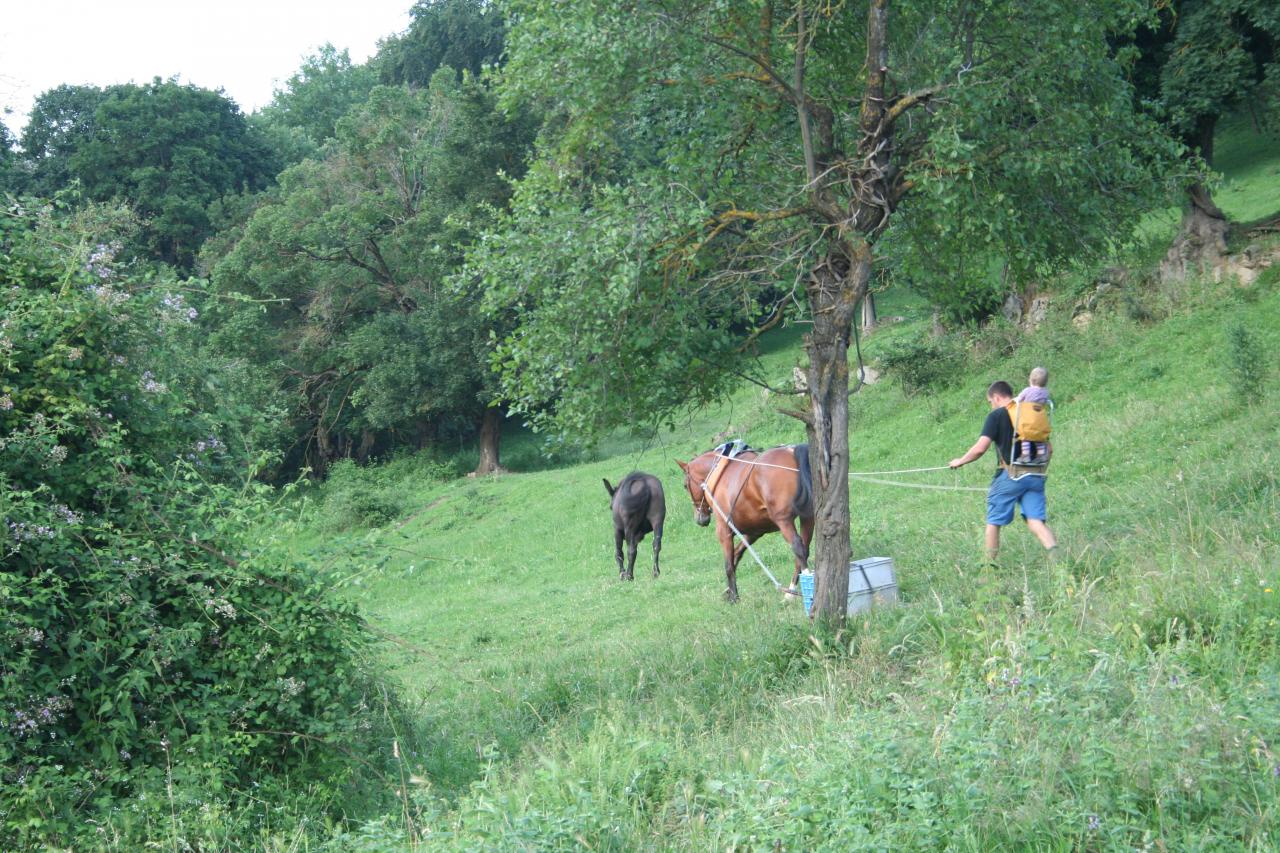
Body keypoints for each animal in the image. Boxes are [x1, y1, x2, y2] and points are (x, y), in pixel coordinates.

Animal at [675, 440, 814, 601]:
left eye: (685, 486)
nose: (700, 519)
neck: (719, 473)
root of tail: (793, 451)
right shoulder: (755, 531)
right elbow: (736, 554)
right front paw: (729, 590)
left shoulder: (724, 531)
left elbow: (728, 564)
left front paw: (734, 597)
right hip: (808, 517)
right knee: (805, 548)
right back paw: (791, 592)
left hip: (784, 520)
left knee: (798, 547)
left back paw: (796, 591)